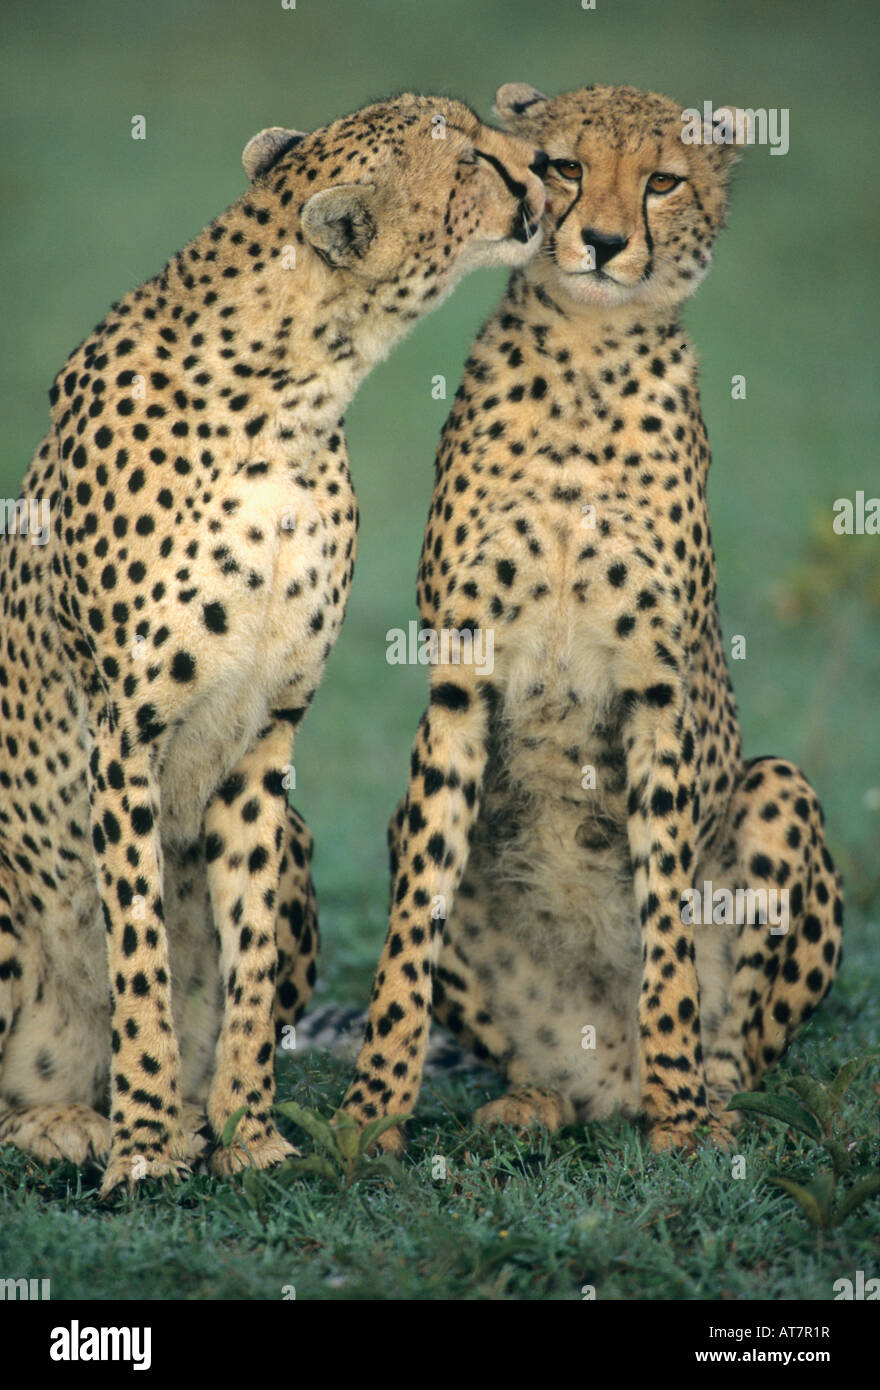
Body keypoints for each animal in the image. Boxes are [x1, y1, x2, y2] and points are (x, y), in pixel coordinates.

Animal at [0, 95, 544, 1195]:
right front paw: (145, 1152)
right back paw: (71, 1126)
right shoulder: (122, 739)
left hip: (295, 831)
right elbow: (140, 958)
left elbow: (242, 962)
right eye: (471, 158)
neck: (289, 396)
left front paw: (244, 1132)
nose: (546, 171)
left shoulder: (264, 743)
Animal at [339, 84, 839, 1150]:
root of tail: (605, 1072)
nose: (604, 242)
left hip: (779, 787)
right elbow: (408, 933)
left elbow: (666, 928)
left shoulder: (657, 690)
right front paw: (367, 1118)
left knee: (738, 1044)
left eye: (663, 181)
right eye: (564, 167)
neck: (584, 358)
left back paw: (700, 1102)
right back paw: (537, 1098)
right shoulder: (459, 679)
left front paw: (680, 1122)